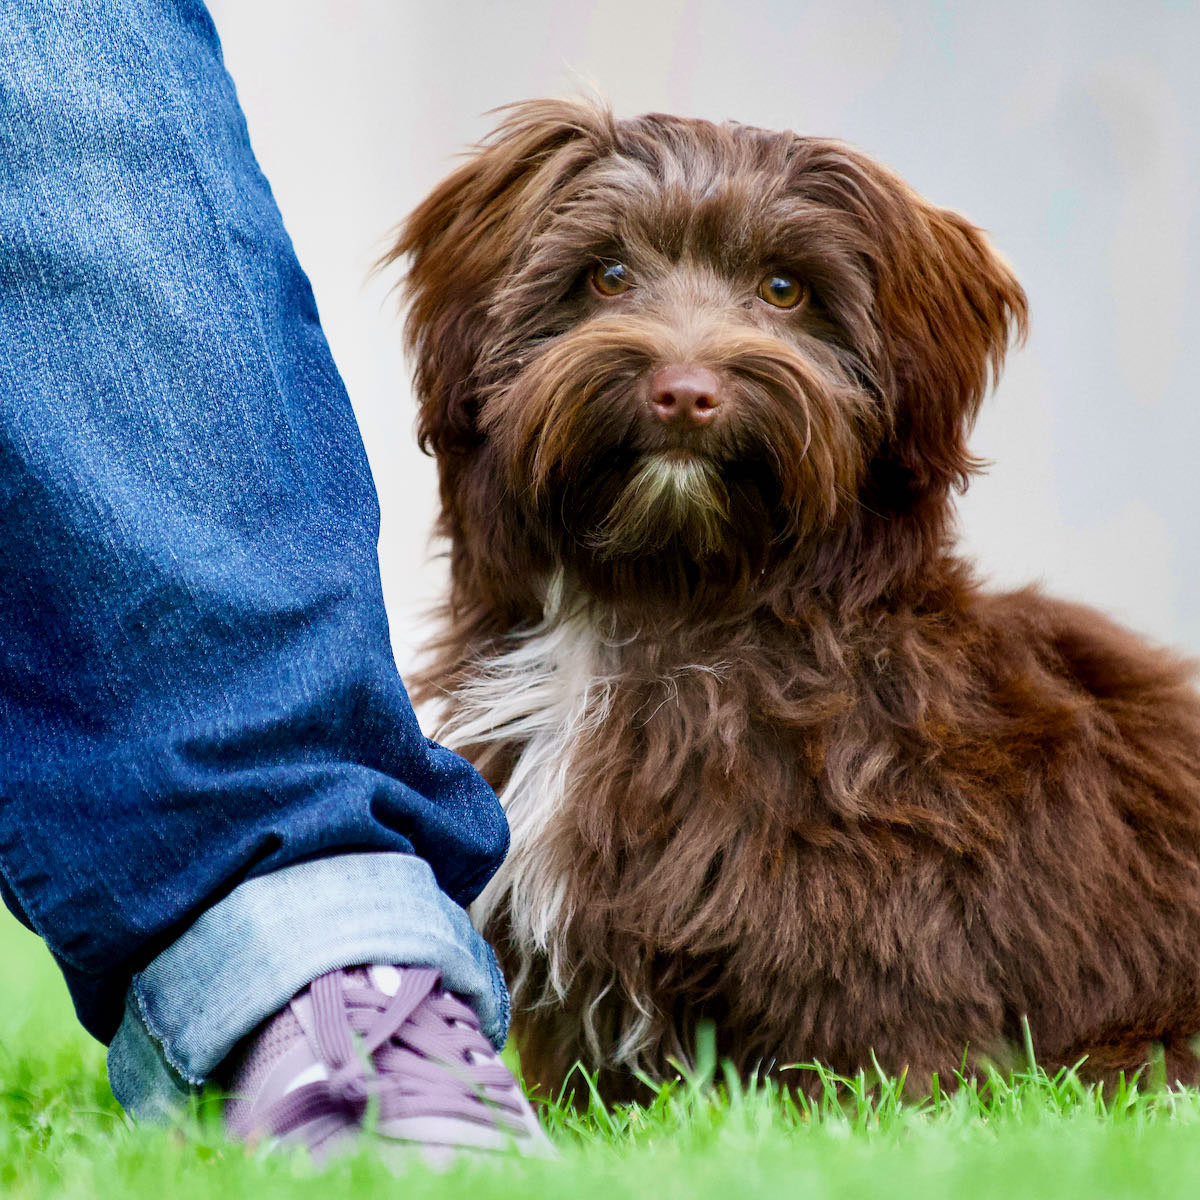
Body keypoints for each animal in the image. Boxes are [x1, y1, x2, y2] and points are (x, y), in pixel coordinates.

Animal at [386, 98, 1200, 1099]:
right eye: (607, 274)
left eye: (784, 290)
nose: (684, 393)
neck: (668, 599)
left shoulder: (876, 904)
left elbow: (873, 1037)